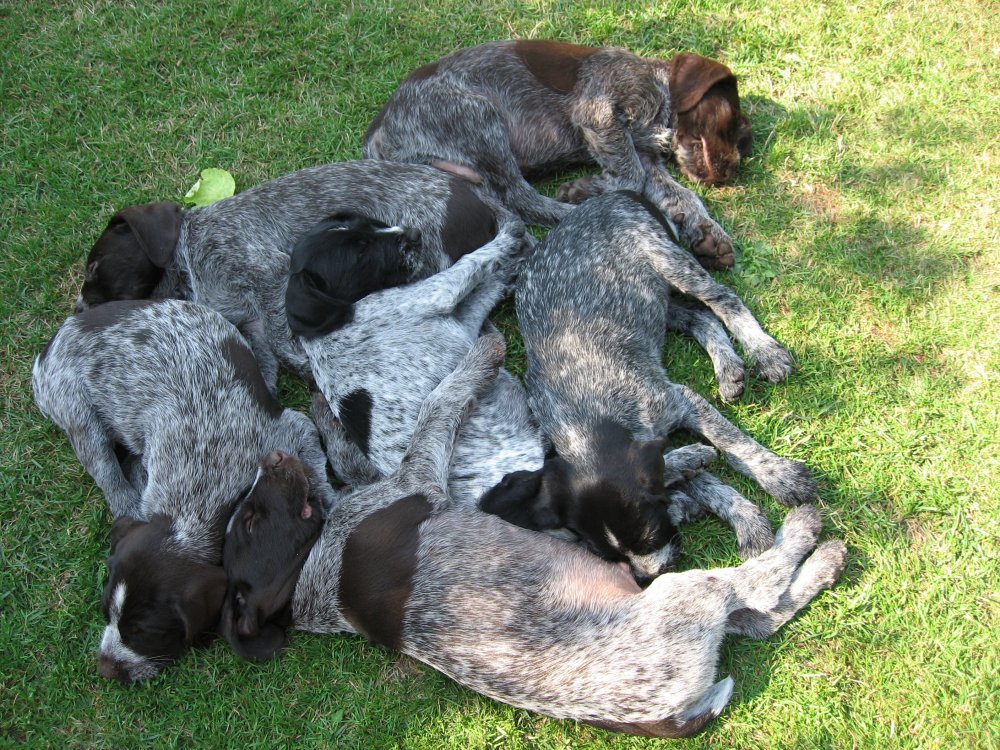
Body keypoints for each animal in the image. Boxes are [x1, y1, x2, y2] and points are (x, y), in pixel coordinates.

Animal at [32, 299, 336, 681]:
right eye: (106, 613)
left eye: (148, 631)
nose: (106, 669)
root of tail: (49, 348)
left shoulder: (291, 429)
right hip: (78, 415)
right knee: (113, 480)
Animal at [76, 160, 503, 388]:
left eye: (94, 269)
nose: (78, 309)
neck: (187, 262)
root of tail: (485, 212)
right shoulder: (252, 325)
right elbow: (264, 364)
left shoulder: (268, 270)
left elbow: (284, 339)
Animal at [221, 332, 847, 738]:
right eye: (250, 518)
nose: (270, 457)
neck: (312, 572)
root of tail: (673, 718)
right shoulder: (418, 473)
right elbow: (442, 400)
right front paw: (485, 353)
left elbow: (349, 447)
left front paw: (320, 410)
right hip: (686, 598)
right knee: (760, 587)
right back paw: (806, 534)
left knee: (765, 617)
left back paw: (823, 562)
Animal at [364, 40, 752, 269]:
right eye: (733, 124)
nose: (728, 172)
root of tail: (378, 130)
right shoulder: (598, 112)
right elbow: (631, 176)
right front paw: (583, 189)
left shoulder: (646, 155)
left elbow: (680, 194)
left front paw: (709, 234)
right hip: (480, 118)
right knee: (521, 200)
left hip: (466, 171)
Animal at [480, 190, 817, 579]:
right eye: (607, 555)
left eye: (649, 535)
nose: (648, 576)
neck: (586, 423)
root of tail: (616, 194)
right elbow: (690, 470)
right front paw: (738, 511)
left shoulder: (682, 401)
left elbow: (734, 444)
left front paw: (779, 476)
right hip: (652, 300)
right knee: (698, 316)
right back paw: (728, 367)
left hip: (669, 261)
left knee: (723, 300)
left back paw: (763, 350)